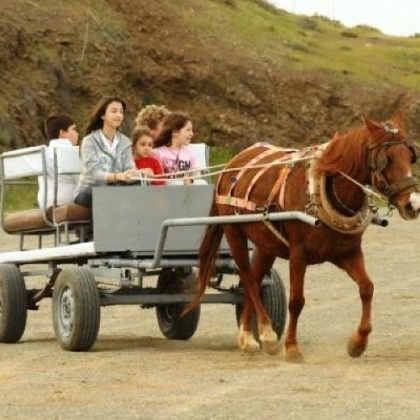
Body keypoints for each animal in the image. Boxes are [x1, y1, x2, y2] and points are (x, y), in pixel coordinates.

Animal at [188, 111, 420, 360]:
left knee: (254, 281)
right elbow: (296, 301)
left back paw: (248, 337)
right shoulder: (298, 255)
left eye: (410, 156)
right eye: (387, 159)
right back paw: (268, 334)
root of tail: (233, 163)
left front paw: (358, 342)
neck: (326, 191)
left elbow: (367, 288)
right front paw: (291, 347)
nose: (413, 204)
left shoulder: (347, 252)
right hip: (234, 233)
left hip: (266, 244)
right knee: (248, 279)